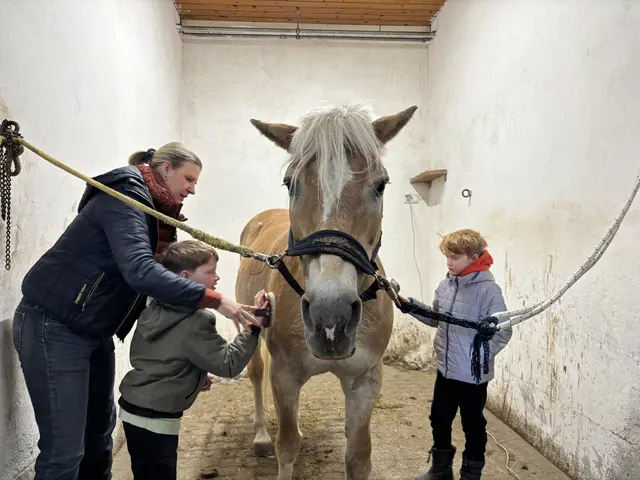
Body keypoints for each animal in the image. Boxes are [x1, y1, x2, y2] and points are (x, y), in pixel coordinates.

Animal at [234, 102, 418, 480]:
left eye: (381, 185)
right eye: (290, 183)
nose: (330, 319)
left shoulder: (365, 380)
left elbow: (358, 456)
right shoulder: (284, 376)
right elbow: (287, 446)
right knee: (256, 374)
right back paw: (260, 436)